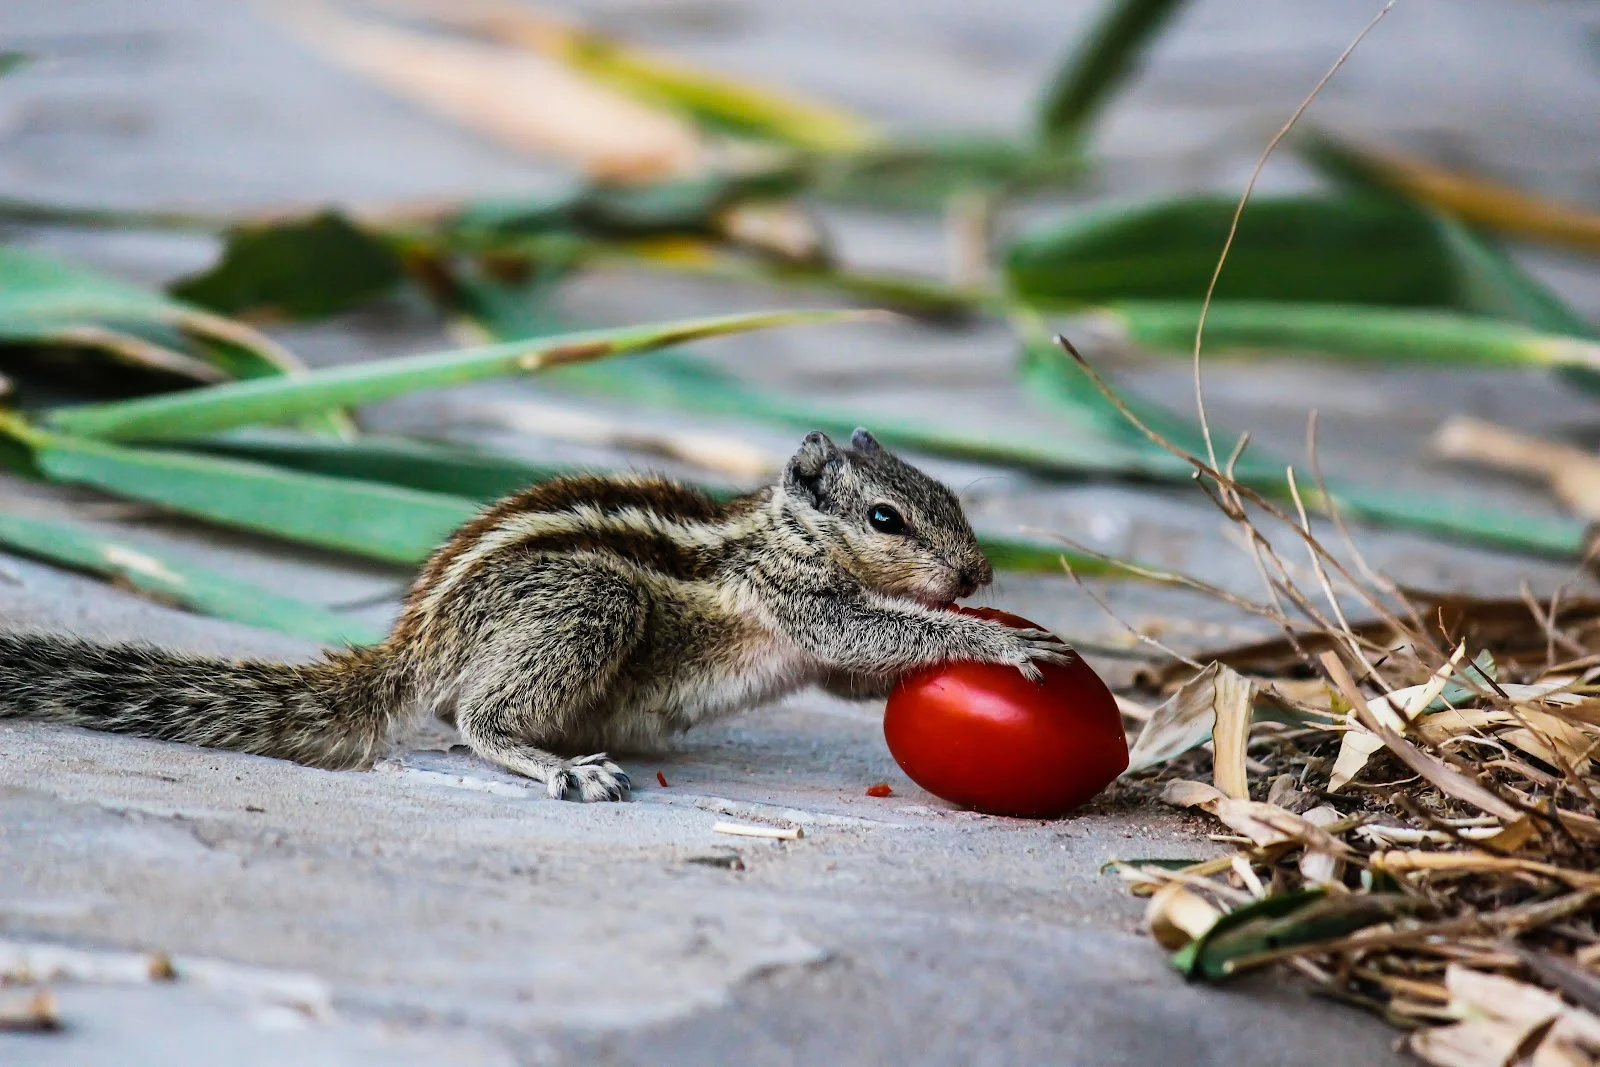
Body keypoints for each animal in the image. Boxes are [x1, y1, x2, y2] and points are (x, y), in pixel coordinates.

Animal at [3, 428, 1075, 799]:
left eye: (950, 492)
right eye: (888, 516)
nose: (980, 572)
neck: (784, 530)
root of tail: (415, 642)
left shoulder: (821, 648)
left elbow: (860, 675)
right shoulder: (796, 599)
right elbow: (875, 629)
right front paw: (997, 642)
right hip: (589, 602)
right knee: (474, 719)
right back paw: (559, 764)